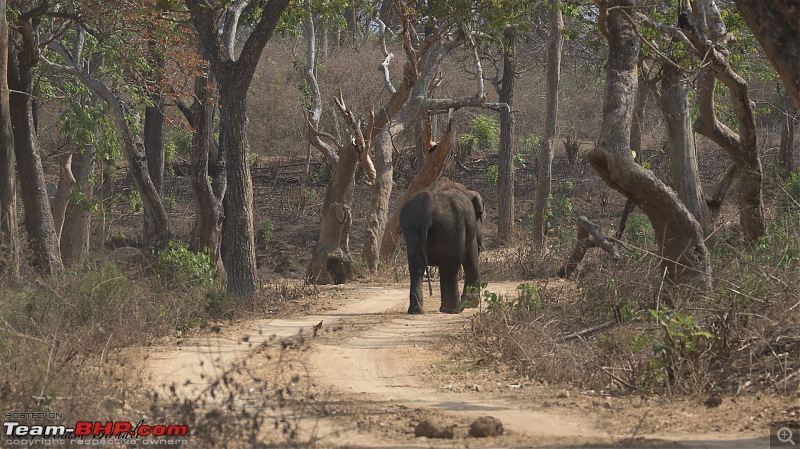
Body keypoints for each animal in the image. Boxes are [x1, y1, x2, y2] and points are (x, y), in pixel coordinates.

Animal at [398, 177, 482, 314]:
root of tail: (429, 204)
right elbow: (471, 258)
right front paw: (472, 304)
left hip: (411, 224)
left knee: (416, 264)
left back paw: (417, 310)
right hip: (450, 226)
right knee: (451, 264)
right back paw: (453, 310)